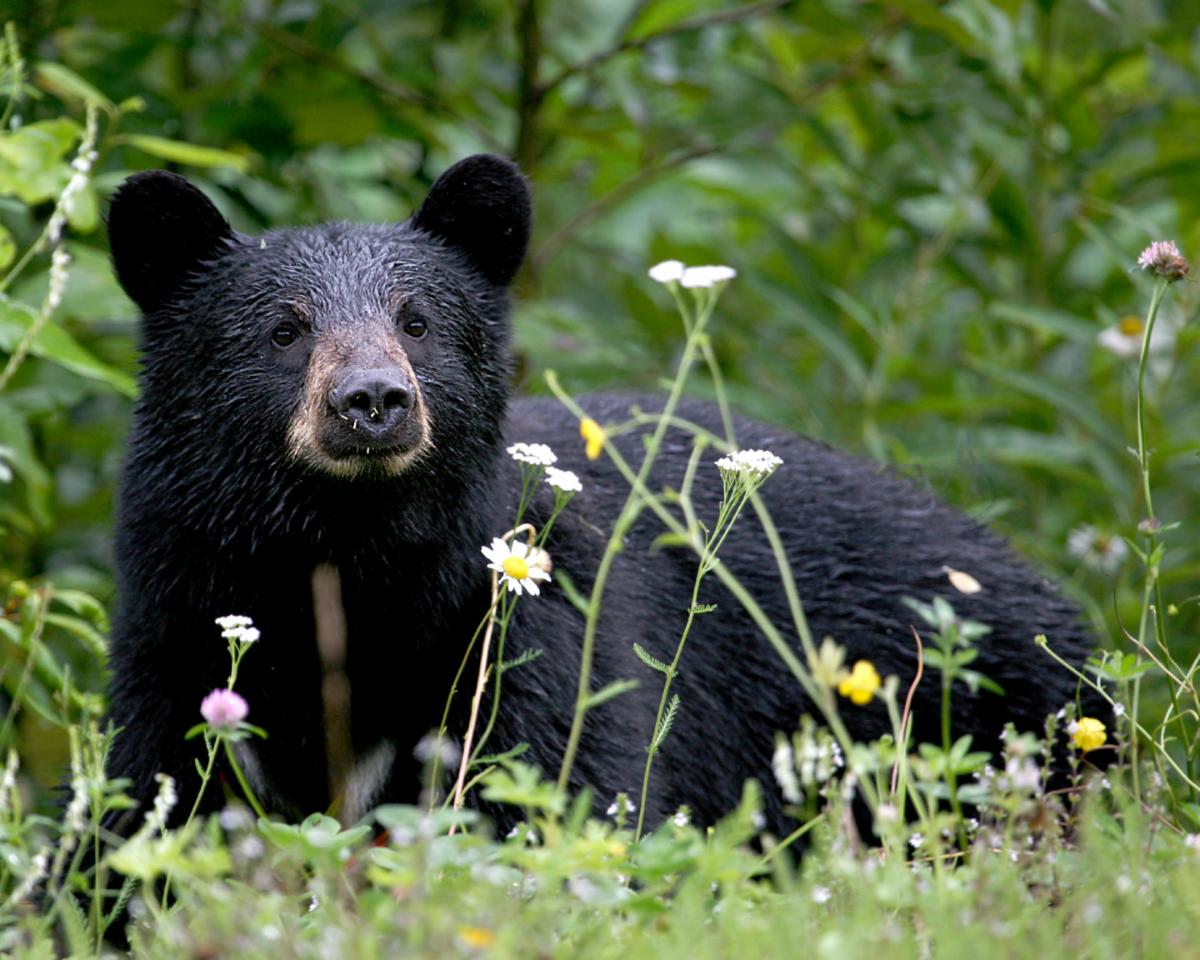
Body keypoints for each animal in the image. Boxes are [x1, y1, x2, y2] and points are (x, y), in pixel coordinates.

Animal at [103, 153, 1099, 835]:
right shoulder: (178, 616)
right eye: (284, 331)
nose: (374, 401)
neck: (350, 556)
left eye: (417, 323)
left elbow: (560, 782)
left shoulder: (527, 626)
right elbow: (150, 800)